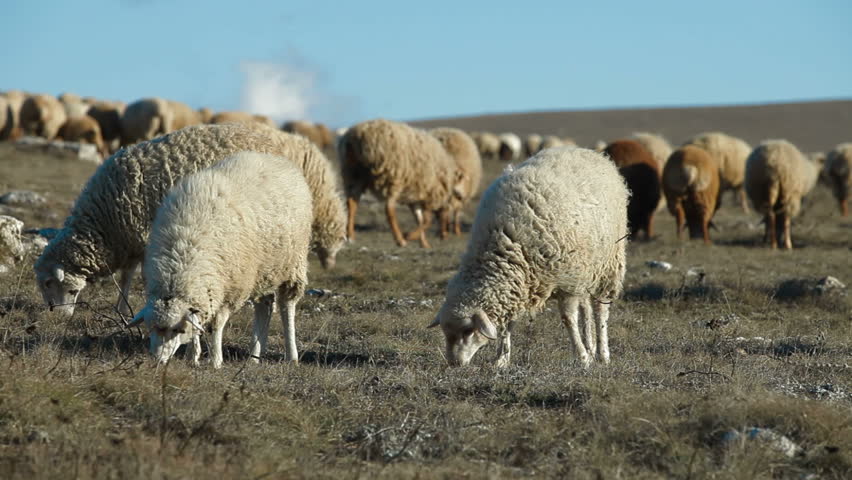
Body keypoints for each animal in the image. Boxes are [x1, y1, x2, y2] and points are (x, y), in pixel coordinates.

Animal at [34, 123, 346, 318]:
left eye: (54, 284)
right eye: (44, 285)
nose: (58, 316)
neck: (104, 218)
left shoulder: (144, 235)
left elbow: (139, 275)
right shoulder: (131, 239)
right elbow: (127, 275)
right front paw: (121, 307)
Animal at [130, 151, 312, 368]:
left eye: (177, 330)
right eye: (151, 328)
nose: (158, 361)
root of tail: (274, 158)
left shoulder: (230, 288)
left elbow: (216, 324)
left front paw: (215, 360)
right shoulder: (205, 288)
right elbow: (198, 324)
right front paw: (193, 356)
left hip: (293, 263)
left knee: (287, 306)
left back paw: (291, 355)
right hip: (263, 270)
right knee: (264, 307)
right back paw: (254, 356)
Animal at [338, 119, 463, 248]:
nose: (444, 235)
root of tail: (356, 135)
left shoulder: (414, 196)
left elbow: (420, 219)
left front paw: (423, 243)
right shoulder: (428, 193)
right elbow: (427, 221)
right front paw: (409, 236)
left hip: (354, 174)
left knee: (351, 204)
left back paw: (350, 236)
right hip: (392, 177)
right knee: (389, 209)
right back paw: (400, 240)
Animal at [429, 146, 628, 368]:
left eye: (468, 331)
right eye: (446, 332)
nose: (454, 363)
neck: (503, 243)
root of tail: (587, 151)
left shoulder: (566, 282)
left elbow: (568, 319)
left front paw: (581, 357)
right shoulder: (519, 284)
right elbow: (507, 323)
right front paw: (502, 359)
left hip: (608, 266)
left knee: (601, 310)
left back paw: (602, 354)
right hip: (586, 270)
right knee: (586, 307)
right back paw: (591, 347)